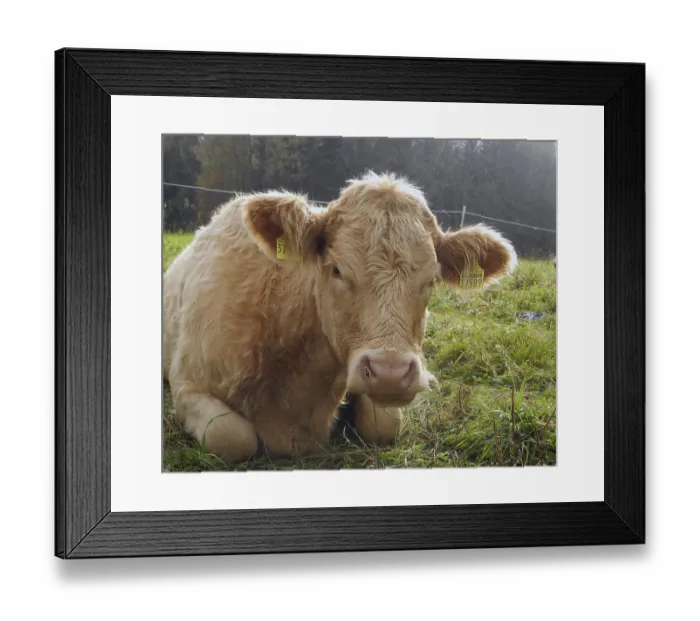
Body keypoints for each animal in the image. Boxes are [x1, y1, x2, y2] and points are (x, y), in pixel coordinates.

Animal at [163, 171, 517, 463]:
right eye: (336, 269)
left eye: (431, 280)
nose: (390, 373)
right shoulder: (187, 382)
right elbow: (231, 436)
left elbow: (384, 423)